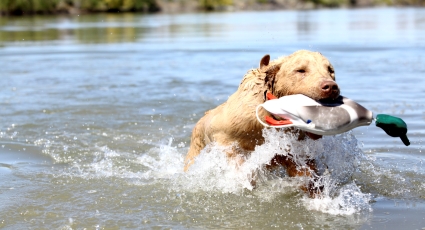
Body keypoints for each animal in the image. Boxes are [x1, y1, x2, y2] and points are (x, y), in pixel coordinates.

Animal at [184, 50, 340, 196]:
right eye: (300, 70)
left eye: (330, 70)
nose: (331, 87)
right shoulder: (225, 135)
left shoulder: (294, 151)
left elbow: (306, 174)